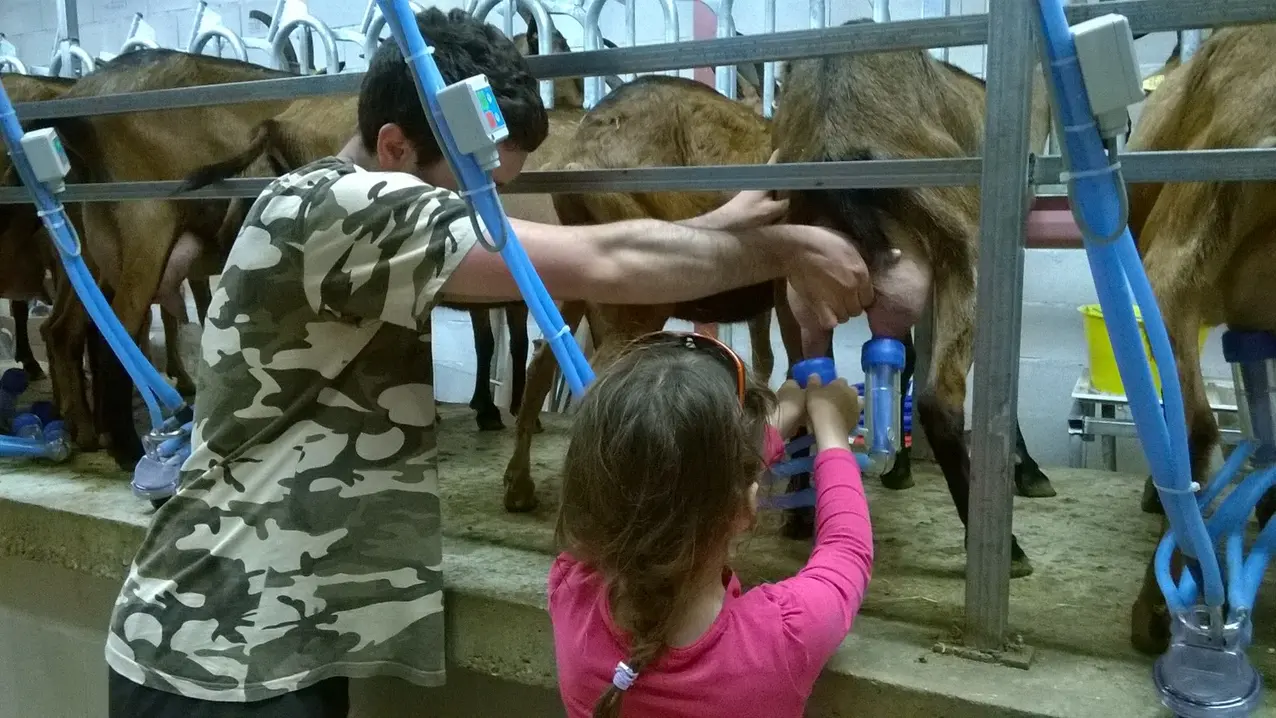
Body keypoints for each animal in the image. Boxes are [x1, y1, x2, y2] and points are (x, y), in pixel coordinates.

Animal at [765, 21, 1056, 578]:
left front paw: (896, 467)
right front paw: (1030, 472)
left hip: (793, 282)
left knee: (805, 381)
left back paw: (801, 509)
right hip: (965, 249)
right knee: (939, 399)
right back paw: (1007, 550)